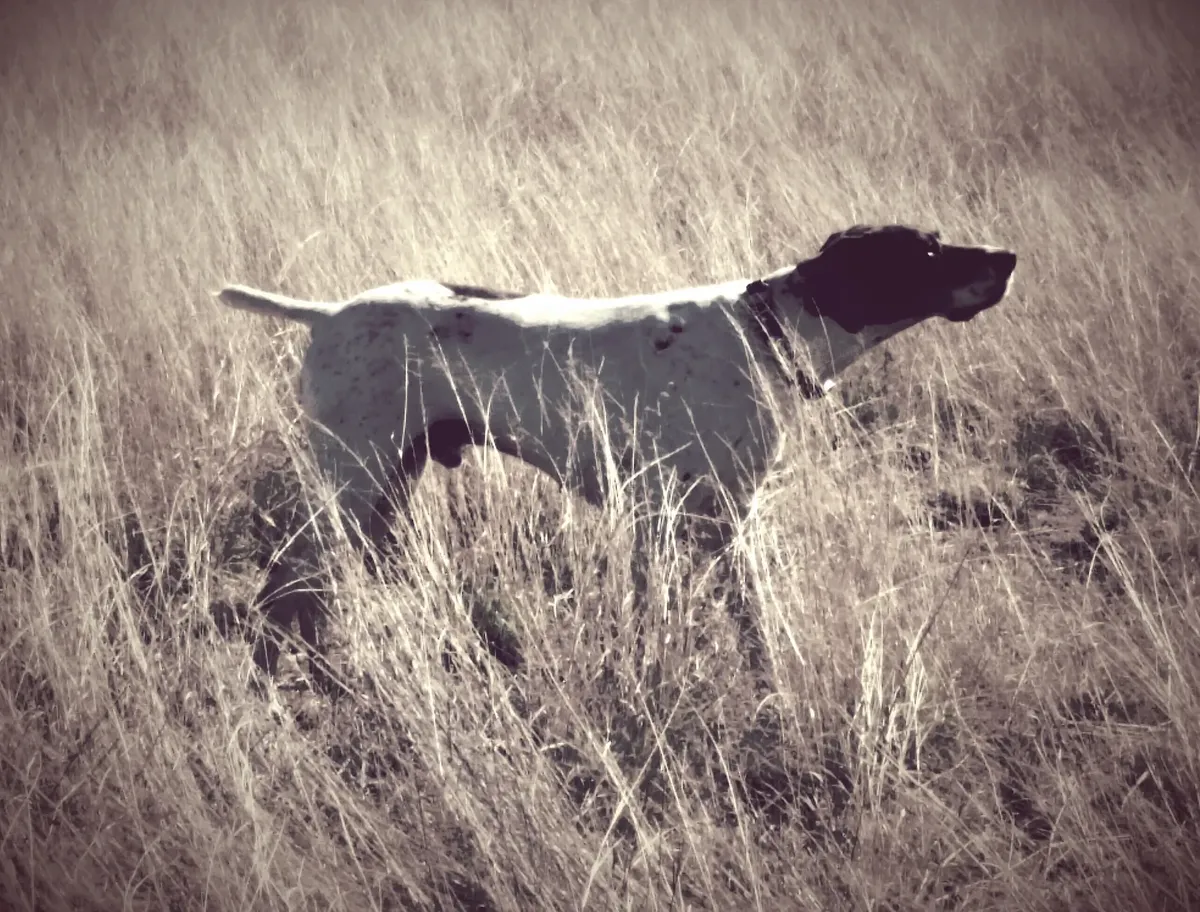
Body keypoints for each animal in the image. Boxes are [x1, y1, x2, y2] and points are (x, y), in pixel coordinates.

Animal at [220, 226, 1017, 681]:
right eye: (925, 252)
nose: (1010, 256)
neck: (765, 331)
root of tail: (327, 314)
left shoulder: (663, 524)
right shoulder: (717, 522)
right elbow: (755, 628)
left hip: (384, 489)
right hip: (351, 484)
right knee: (283, 593)